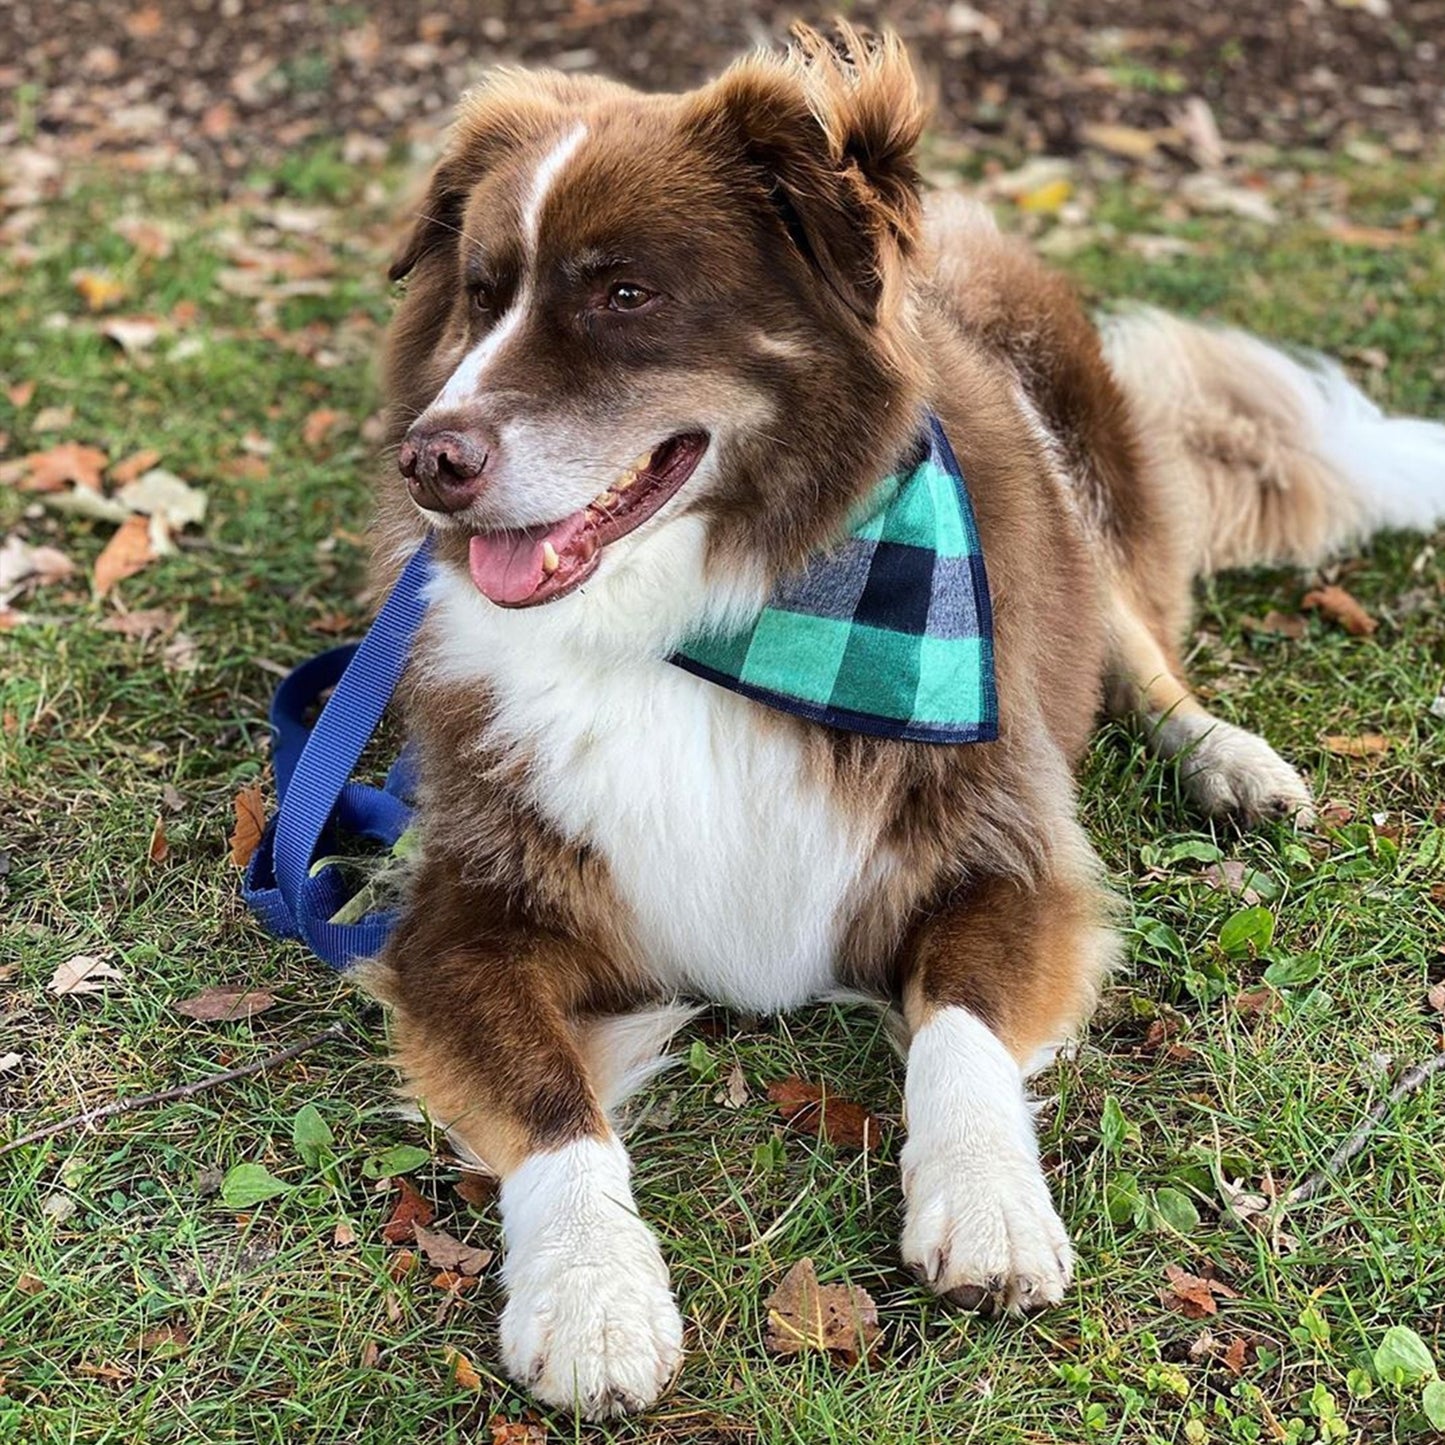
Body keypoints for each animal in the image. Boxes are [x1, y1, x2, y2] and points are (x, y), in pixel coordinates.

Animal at [364, 25, 1445, 1421]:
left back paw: (1229, 759)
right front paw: (593, 1292)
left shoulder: (1005, 838)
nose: (429, 462)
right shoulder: (464, 915)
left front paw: (985, 1203)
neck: (702, 621)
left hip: (1065, 477)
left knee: (1136, 643)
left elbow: (961, 1027)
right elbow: (554, 1104)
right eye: (480, 292)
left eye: (625, 296)